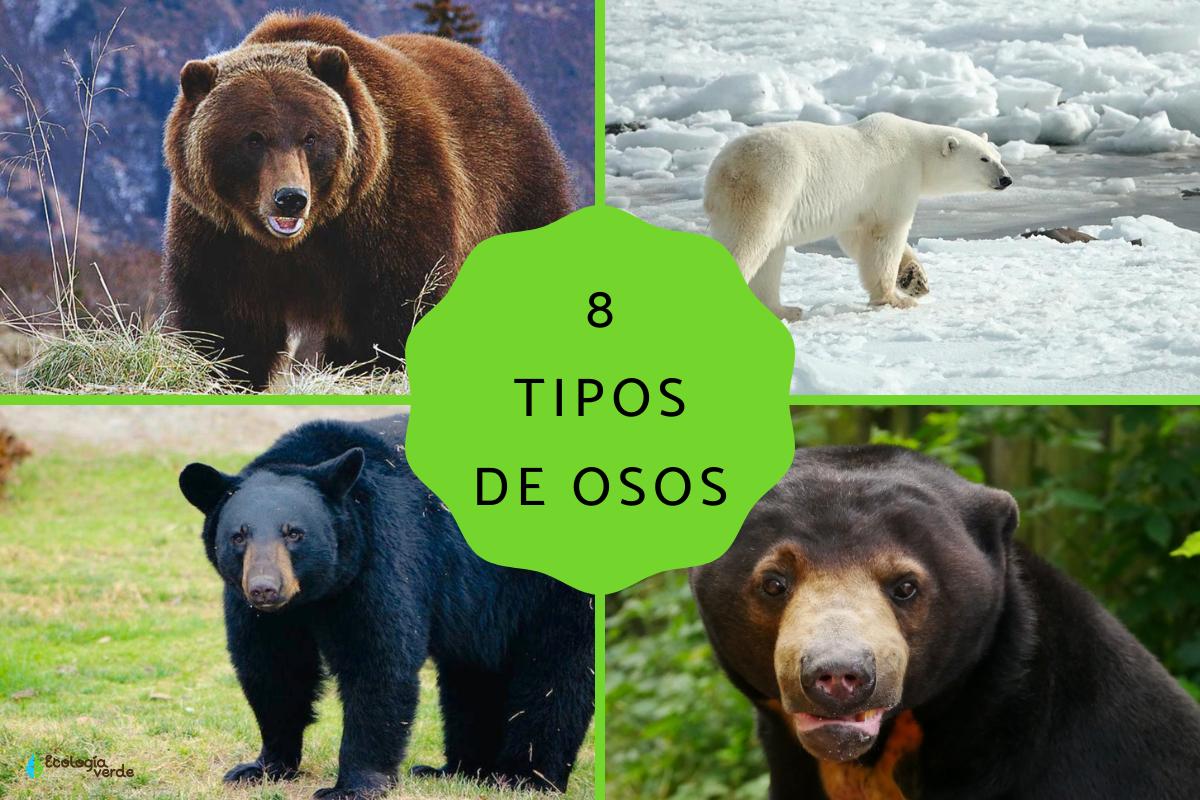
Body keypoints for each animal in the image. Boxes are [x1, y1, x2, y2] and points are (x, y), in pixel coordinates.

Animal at [164, 13, 574, 389]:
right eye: (253, 138)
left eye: (310, 137)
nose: (290, 199)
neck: (304, 239)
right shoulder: (222, 239)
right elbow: (227, 330)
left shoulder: (388, 215)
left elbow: (395, 318)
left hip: (518, 191)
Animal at [178, 415, 594, 798]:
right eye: (238, 536)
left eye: (294, 533)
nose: (265, 589)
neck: (315, 594)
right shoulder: (257, 609)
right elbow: (272, 669)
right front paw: (264, 766)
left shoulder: (382, 554)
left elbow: (377, 662)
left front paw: (352, 785)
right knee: (474, 671)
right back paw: (458, 770)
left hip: (555, 585)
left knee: (557, 673)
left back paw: (523, 777)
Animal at [702, 113, 1012, 321]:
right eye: (983, 159)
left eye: (998, 155)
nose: (1006, 179)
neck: (917, 150)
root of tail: (721, 170)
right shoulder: (894, 179)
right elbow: (885, 236)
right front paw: (895, 299)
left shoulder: (856, 203)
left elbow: (857, 238)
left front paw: (915, 280)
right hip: (770, 185)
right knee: (749, 242)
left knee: (770, 256)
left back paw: (784, 309)